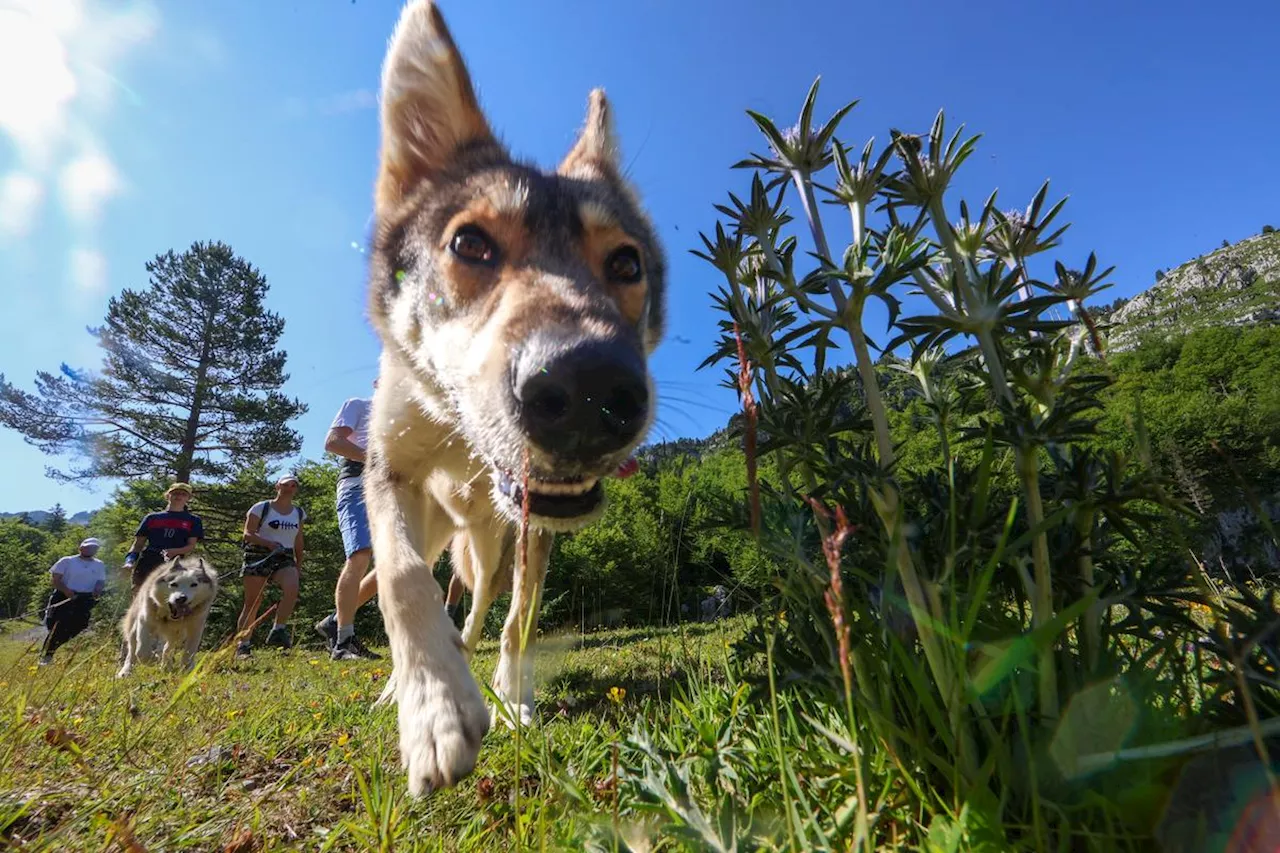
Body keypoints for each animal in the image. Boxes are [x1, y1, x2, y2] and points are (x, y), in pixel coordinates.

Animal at [358, 0, 660, 794]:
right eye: (470, 245)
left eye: (626, 263)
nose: (588, 388)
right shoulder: (386, 470)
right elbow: (400, 579)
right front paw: (433, 710)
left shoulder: (534, 527)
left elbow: (521, 616)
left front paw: (510, 698)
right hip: (442, 531)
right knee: (428, 582)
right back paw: (402, 686)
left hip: (488, 547)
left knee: (478, 604)